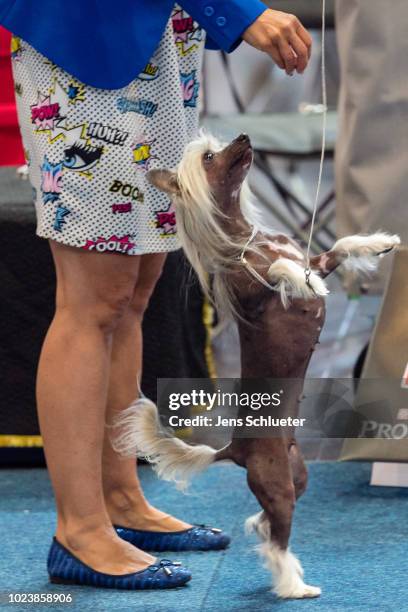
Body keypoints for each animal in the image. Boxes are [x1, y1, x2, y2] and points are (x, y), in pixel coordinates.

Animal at [112, 133, 402, 596]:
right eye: (210, 156)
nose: (245, 138)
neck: (247, 239)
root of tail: (236, 450)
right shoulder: (254, 296)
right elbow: (284, 270)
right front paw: (303, 283)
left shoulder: (317, 259)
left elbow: (336, 248)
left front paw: (379, 242)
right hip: (278, 485)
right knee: (277, 542)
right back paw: (294, 586)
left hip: (298, 477)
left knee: (269, 524)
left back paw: (256, 527)